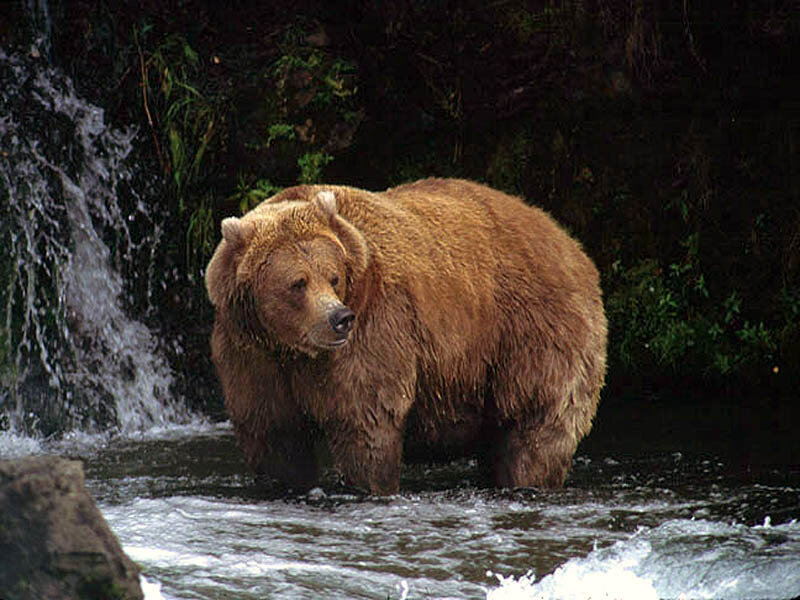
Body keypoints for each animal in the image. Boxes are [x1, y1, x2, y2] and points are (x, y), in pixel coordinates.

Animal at [205, 178, 607, 495]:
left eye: (333, 276)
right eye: (297, 283)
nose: (339, 319)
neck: (291, 348)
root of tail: (571, 245)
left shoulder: (374, 330)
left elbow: (366, 423)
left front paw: (366, 485)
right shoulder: (251, 354)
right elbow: (275, 437)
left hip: (532, 336)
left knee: (538, 428)